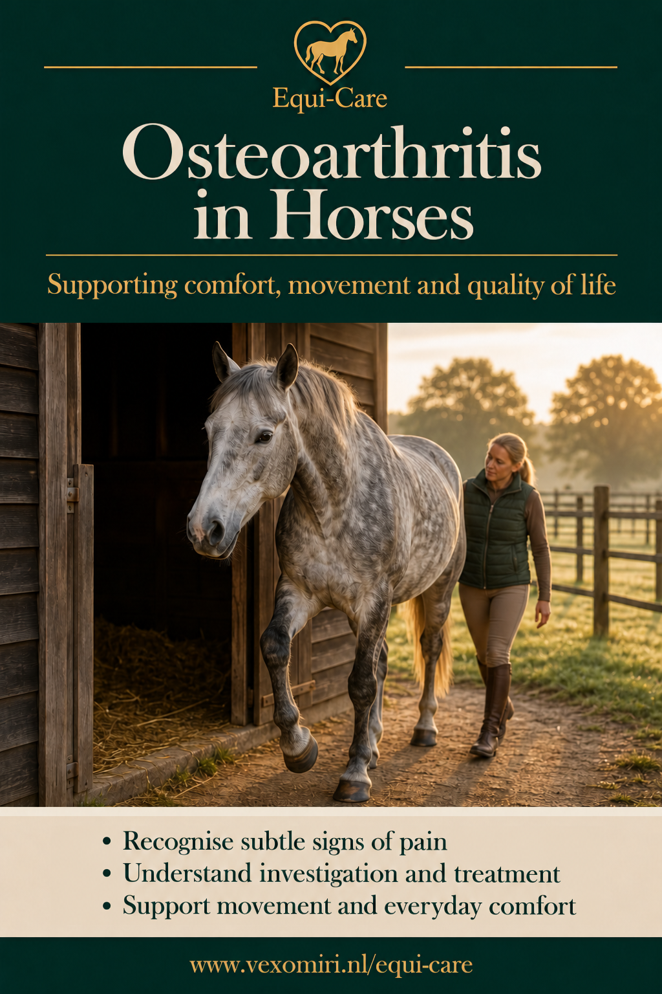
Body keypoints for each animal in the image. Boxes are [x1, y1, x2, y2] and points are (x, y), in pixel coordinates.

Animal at [187, 344, 466, 803]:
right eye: (210, 430)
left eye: (265, 435)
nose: (203, 529)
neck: (334, 506)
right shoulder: (299, 591)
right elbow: (275, 647)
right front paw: (299, 747)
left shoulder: (373, 602)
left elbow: (360, 684)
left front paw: (354, 775)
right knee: (382, 660)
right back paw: (373, 742)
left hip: (438, 591)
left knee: (429, 649)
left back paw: (424, 728)